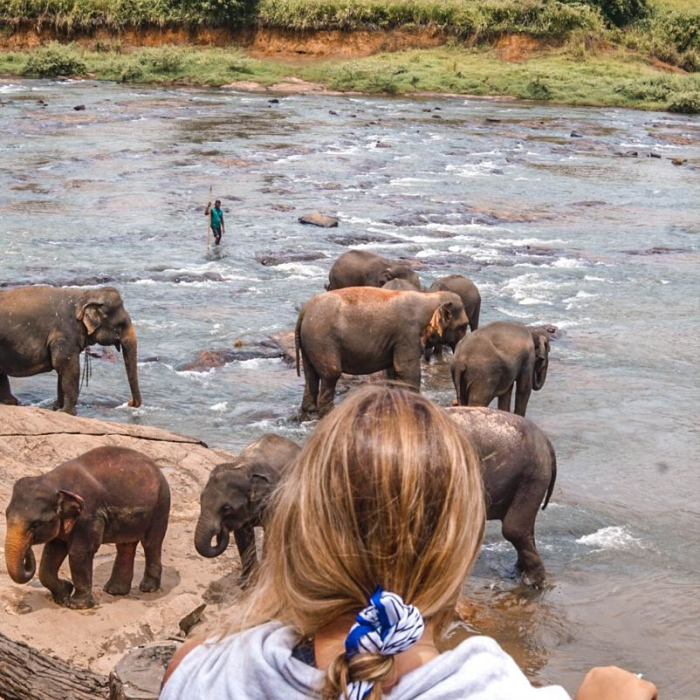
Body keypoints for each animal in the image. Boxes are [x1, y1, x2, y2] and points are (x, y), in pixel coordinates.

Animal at [0, 285, 141, 414]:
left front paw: (57, 408)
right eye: (121, 324)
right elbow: (68, 367)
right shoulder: (65, 334)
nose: (130, 402)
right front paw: (67, 412)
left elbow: (62, 370)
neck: (85, 295)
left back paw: (13, 403)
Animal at [4, 446, 170, 609]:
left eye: (36, 524)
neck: (55, 482)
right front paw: (63, 594)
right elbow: (52, 551)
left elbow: (80, 552)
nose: (28, 551)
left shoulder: (88, 517)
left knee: (151, 543)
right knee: (125, 545)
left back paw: (147, 588)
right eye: (6, 515)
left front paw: (76, 605)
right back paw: (115, 591)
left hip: (161, 504)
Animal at [194, 434, 301, 582]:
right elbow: (242, 535)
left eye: (226, 508)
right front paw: (245, 582)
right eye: (201, 500)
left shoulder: (274, 500)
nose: (222, 529)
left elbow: (270, 533)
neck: (245, 467)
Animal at [295, 288, 468, 417]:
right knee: (331, 373)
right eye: (463, 326)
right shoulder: (407, 335)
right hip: (322, 340)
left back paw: (309, 411)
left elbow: (393, 370)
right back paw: (329, 413)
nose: (456, 402)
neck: (430, 297)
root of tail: (305, 310)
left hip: (310, 343)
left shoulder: (397, 341)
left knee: (310, 374)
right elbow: (406, 370)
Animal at [446, 407, 557, 587]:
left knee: (513, 529)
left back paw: (532, 582)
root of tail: (547, 443)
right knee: (525, 528)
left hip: (533, 476)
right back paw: (518, 573)